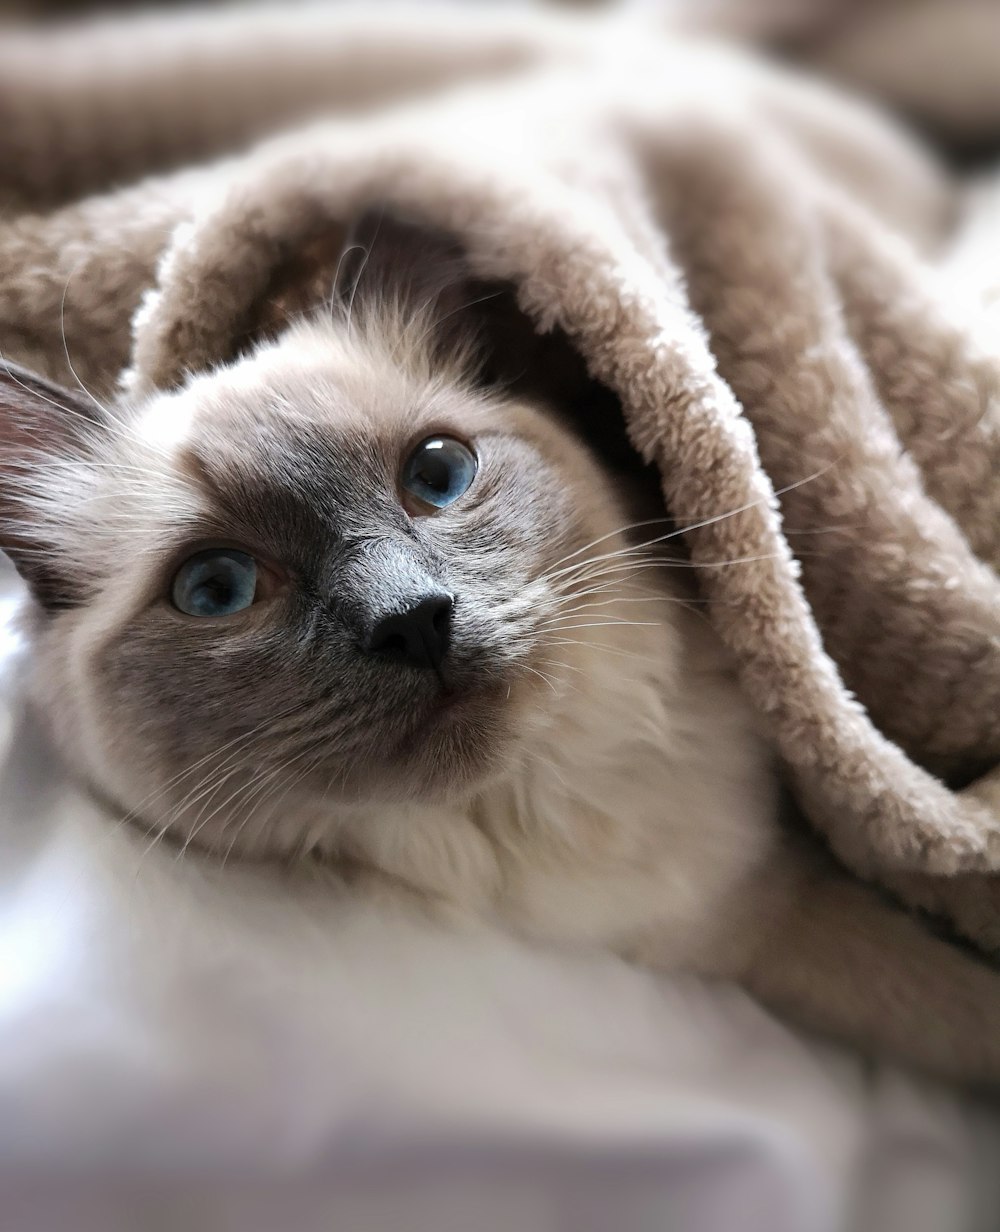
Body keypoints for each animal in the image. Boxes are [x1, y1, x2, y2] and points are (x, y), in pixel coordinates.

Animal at [1, 216, 1000, 1084]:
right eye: (218, 589)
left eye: (438, 475)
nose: (411, 619)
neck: (543, 805)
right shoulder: (761, 918)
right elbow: (944, 1003)